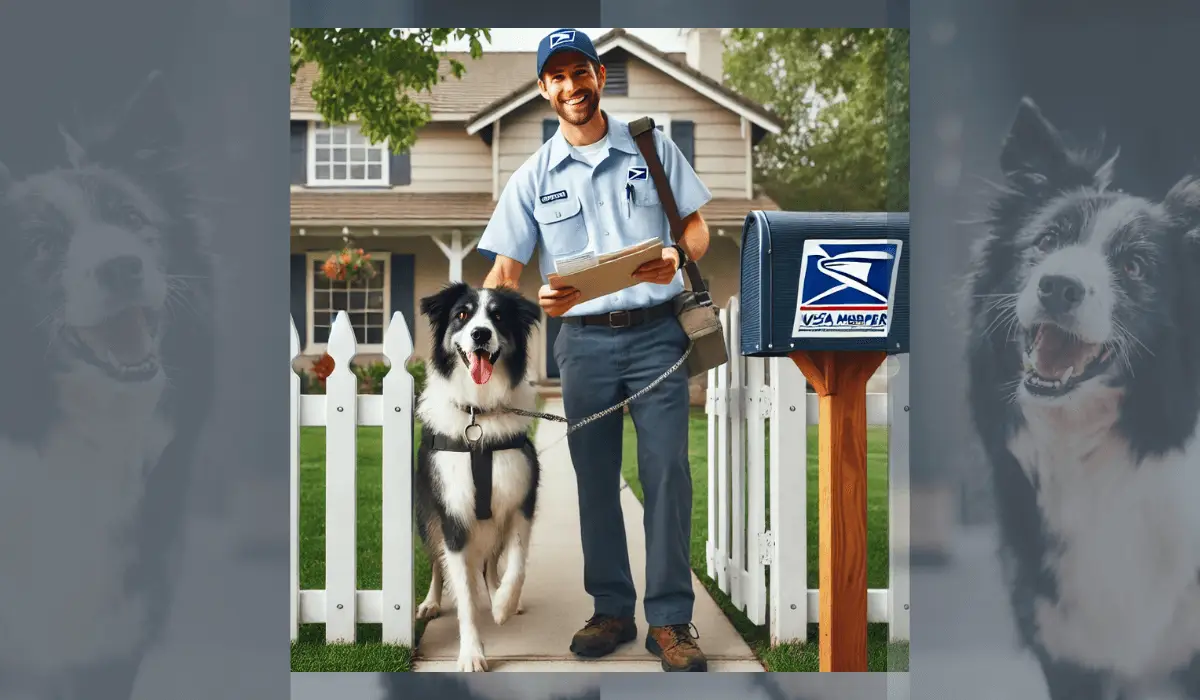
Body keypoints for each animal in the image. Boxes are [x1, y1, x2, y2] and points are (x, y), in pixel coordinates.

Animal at [415, 283, 542, 672]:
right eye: (462, 315)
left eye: (498, 316)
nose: (480, 334)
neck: (479, 413)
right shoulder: (452, 516)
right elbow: (464, 595)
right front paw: (471, 652)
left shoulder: (521, 502)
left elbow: (517, 564)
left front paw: (502, 604)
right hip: (425, 519)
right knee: (437, 563)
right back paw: (431, 602)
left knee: (491, 563)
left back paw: (499, 594)